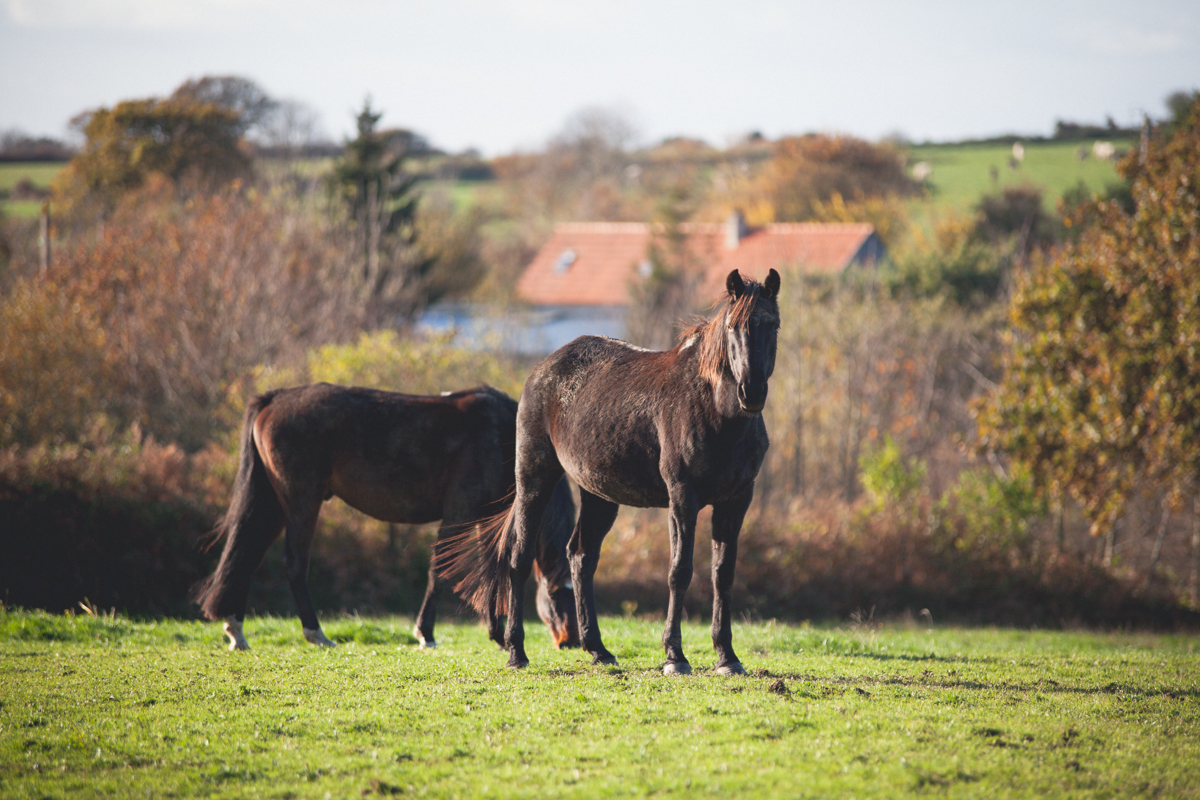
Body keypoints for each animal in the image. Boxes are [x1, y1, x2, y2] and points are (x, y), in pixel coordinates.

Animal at [190, 383, 576, 652]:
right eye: (557, 595)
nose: (569, 641)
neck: (501, 434)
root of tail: (274, 398)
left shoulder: (484, 519)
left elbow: (489, 568)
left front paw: (495, 633)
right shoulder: (459, 513)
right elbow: (439, 571)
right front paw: (426, 633)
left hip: (272, 502)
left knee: (246, 555)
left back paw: (236, 631)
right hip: (301, 501)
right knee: (294, 564)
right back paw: (316, 633)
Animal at [453, 271, 782, 676]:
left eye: (773, 325)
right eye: (734, 326)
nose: (751, 393)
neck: (716, 413)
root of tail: (543, 368)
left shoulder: (736, 501)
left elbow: (723, 574)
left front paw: (727, 657)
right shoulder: (682, 499)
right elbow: (680, 571)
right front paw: (675, 656)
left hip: (599, 495)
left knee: (581, 557)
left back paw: (598, 648)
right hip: (534, 478)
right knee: (519, 556)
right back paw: (517, 651)